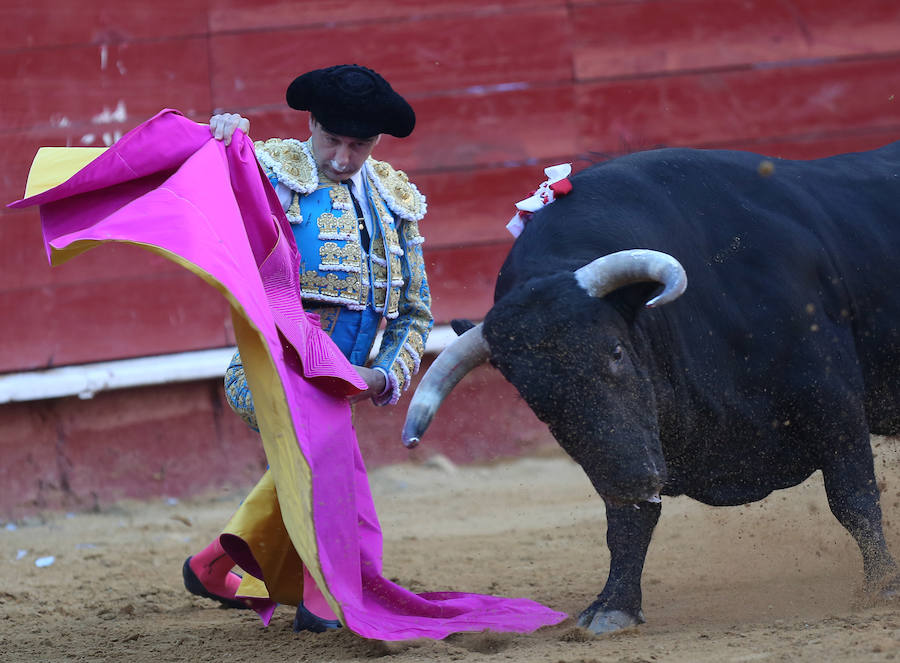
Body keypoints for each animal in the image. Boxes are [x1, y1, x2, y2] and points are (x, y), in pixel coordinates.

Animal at [404, 143, 900, 636]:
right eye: (536, 400)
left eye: (617, 351)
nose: (634, 477)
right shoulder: (626, 452)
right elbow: (628, 521)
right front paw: (613, 607)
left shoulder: (833, 403)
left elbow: (853, 500)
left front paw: (882, 587)